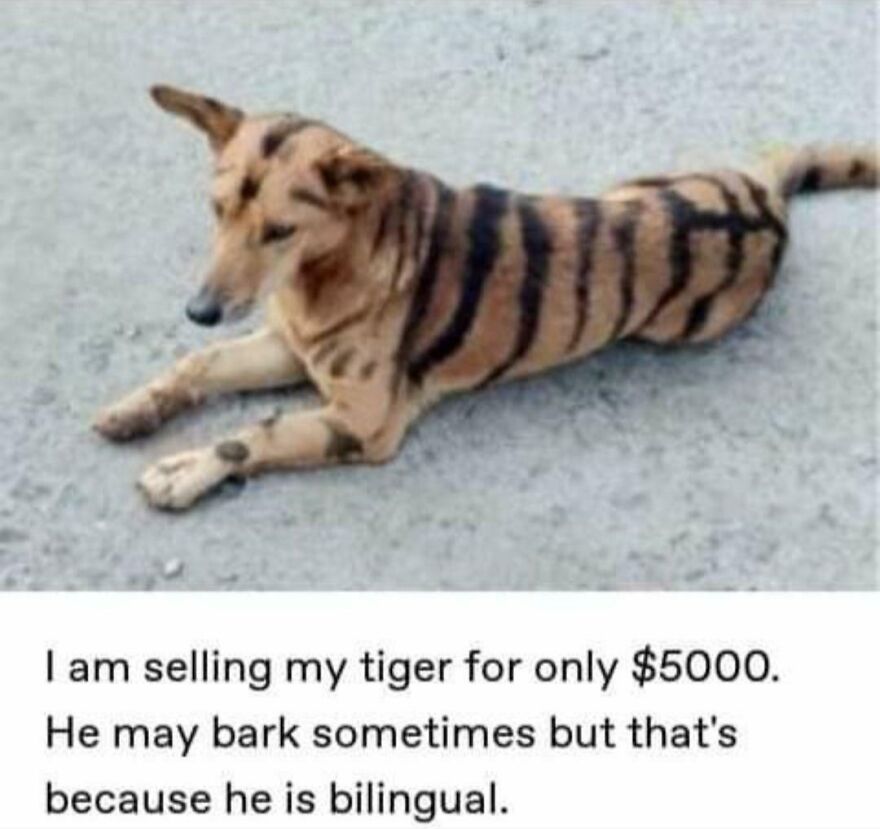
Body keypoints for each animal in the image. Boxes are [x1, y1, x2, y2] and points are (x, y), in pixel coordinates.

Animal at [92, 85, 878, 510]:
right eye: (216, 209)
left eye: (280, 230)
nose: (199, 310)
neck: (325, 269)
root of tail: (767, 198)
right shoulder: (286, 344)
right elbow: (196, 367)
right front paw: (138, 407)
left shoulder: (365, 420)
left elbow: (251, 433)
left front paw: (185, 469)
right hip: (625, 183)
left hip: (676, 319)